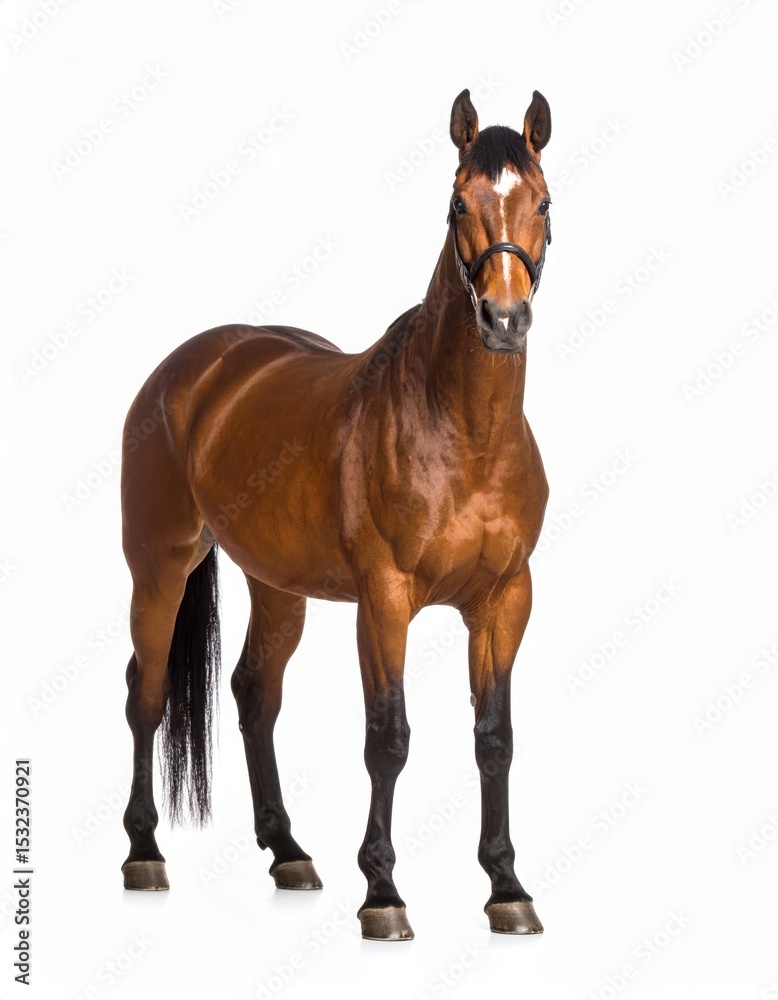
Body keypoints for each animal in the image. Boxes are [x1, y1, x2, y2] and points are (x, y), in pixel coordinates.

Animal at [120, 87, 553, 941]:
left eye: (544, 203)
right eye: (458, 203)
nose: (504, 319)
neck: (462, 432)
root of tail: (193, 367)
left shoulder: (503, 601)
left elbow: (495, 739)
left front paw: (507, 888)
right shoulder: (384, 600)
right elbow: (388, 738)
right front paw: (383, 893)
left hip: (277, 587)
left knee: (254, 692)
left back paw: (288, 852)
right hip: (158, 570)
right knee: (145, 695)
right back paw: (144, 853)